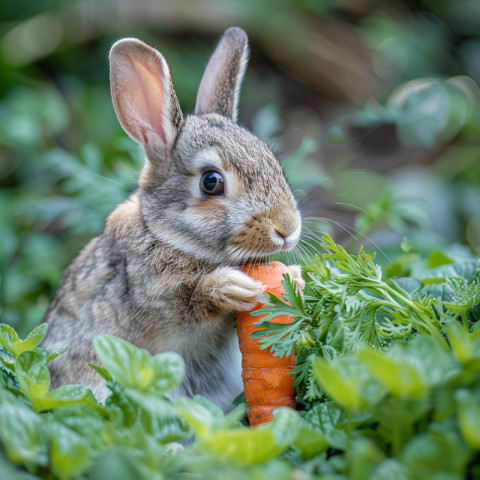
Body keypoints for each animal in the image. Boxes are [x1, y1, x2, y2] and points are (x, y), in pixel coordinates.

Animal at [42, 26, 304, 410]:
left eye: (274, 161)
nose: (288, 229)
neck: (168, 235)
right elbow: (188, 303)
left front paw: (296, 278)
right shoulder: (150, 299)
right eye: (211, 182)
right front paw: (230, 287)